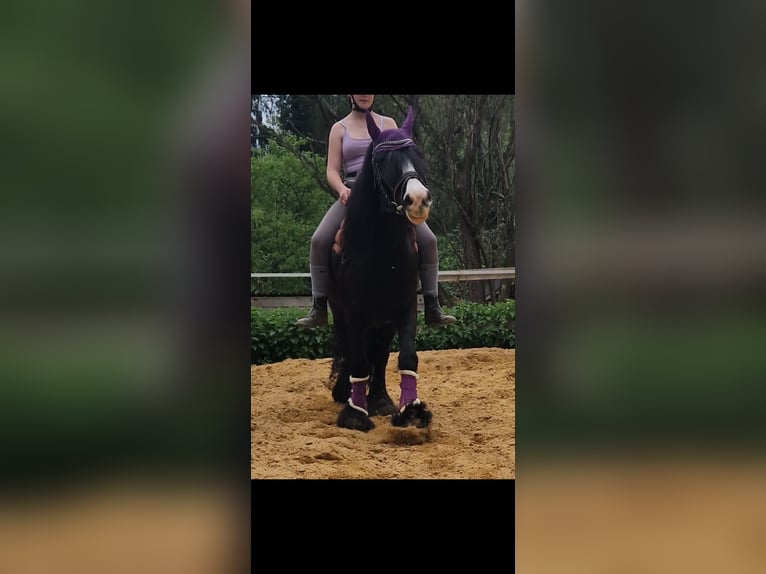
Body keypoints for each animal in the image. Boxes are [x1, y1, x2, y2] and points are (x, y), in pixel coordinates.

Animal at [328, 107, 436, 432]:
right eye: (382, 160)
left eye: (417, 154)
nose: (418, 200)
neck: (382, 253)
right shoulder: (352, 312)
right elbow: (359, 361)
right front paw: (355, 414)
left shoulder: (404, 308)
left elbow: (406, 357)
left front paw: (410, 410)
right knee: (353, 352)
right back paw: (346, 393)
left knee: (379, 353)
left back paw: (379, 399)